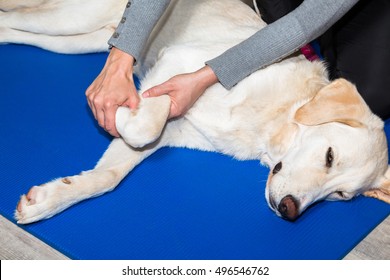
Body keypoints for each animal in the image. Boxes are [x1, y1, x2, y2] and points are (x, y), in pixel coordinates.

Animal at [1, 0, 388, 223]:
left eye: (341, 196)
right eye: (329, 156)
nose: (289, 211)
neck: (269, 124)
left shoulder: (171, 131)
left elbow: (108, 177)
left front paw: (48, 200)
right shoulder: (178, 63)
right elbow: (145, 123)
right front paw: (125, 106)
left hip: (79, 40)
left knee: (14, 29)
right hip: (70, 19)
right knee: (15, 16)